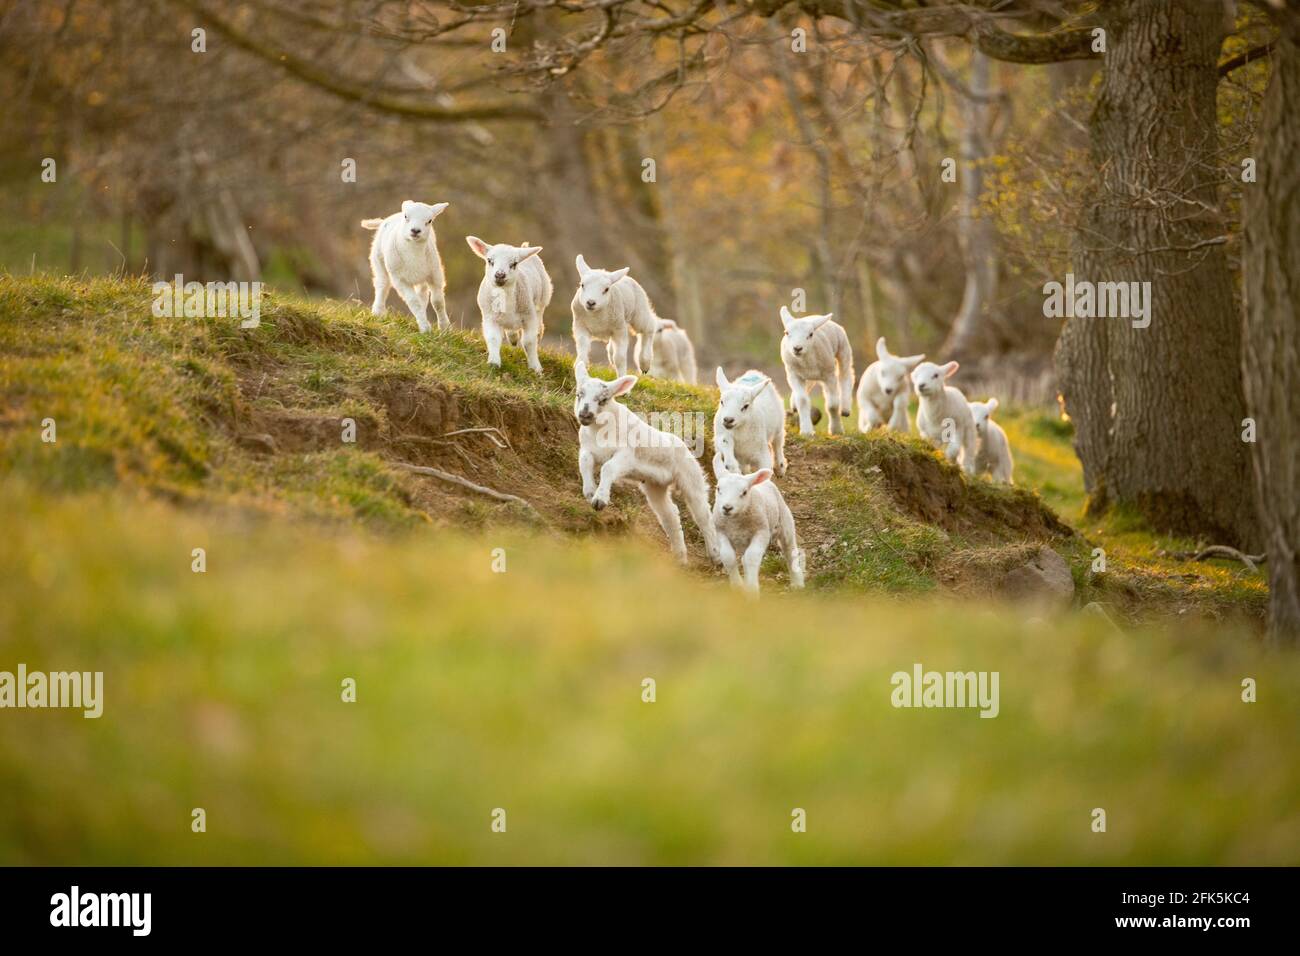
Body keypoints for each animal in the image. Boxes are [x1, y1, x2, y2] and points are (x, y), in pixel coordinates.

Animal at [361, 197, 452, 332]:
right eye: (406, 216)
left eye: (429, 221)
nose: (415, 230)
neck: (413, 254)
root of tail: (388, 218)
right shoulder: (400, 280)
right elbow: (414, 302)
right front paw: (425, 328)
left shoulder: (435, 275)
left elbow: (438, 302)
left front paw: (445, 328)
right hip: (379, 261)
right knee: (382, 284)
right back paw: (378, 312)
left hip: (423, 275)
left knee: (423, 294)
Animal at [465, 235, 551, 374]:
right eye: (490, 260)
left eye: (514, 264)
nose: (500, 275)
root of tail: (524, 248)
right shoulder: (490, 317)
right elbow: (493, 338)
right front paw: (494, 363)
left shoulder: (529, 317)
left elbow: (529, 342)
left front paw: (535, 368)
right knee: (512, 331)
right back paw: (513, 338)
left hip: (542, 300)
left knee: (539, 325)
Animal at [579, 361, 722, 564]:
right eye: (579, 394)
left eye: (603, 400)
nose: (585, 414)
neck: (599, 430)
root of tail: (683, 444)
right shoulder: (587, 448)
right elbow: (584, 462)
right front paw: (589, 491)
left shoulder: (626, 454)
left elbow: (607, 468)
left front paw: (599, 500)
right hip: (655, 485)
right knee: (670, 515)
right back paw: (680, 557)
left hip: (691, 478)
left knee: (703, 515)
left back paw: (715, 555)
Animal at [774, 306, 857, 437]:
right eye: (787, 333)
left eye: (811, 334)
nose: (797, 348)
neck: (806, 360)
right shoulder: (794, 375)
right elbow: (802, 400)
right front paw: (806, 431)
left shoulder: (829, 375)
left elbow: (832, 404)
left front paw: (836, 429)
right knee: (810, 384)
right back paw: (794, 404)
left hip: (843, 349)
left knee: (846, 375)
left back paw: (845, 408)